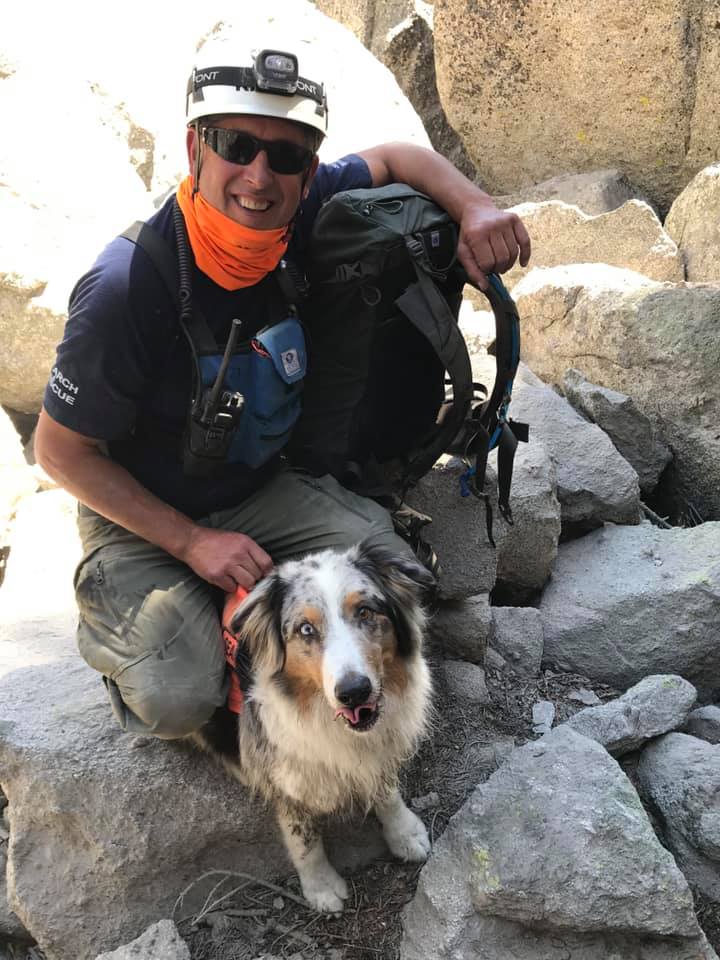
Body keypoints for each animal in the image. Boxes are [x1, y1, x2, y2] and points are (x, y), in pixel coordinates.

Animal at [193, 541, 434, 912]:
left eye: (365, 612)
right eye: (306, 629)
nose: (354, 692)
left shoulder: (380, 746)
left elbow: (387, 790)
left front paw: (404, 833)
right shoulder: (281, 769)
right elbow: (302, 835)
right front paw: (321, 887)